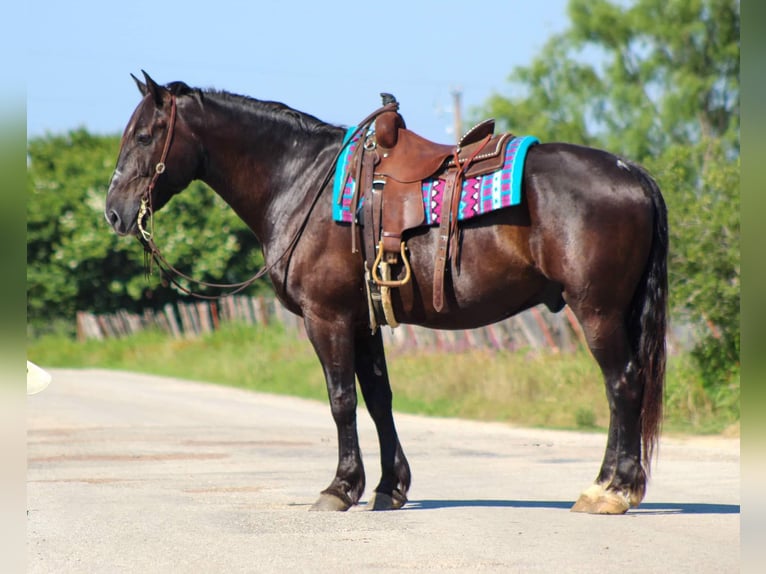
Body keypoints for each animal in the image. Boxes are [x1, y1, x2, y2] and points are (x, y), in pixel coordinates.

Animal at [105, 72, 667, 514]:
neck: (301, 183)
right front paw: (389, 487)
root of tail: (632, 172)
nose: (114, 211)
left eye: (146, 135)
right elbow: (378, 398)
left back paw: (610, 490)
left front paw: (340, 488)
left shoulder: (327, 317)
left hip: (596, 310)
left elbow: (341, 400)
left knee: (622, 384)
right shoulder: (362, 319)